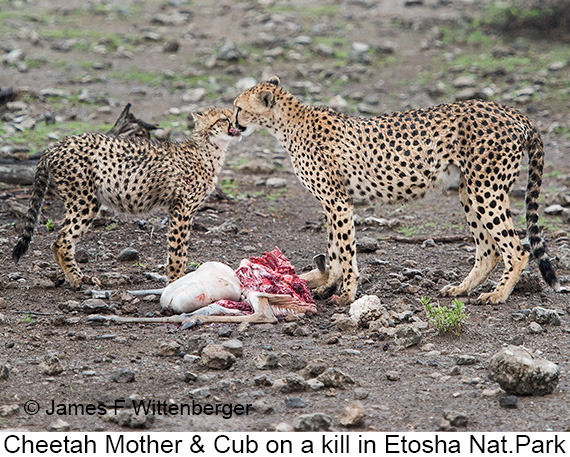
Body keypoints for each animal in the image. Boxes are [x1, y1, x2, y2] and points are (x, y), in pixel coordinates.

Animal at [13, 106, 240, 288]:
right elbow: (178, 252)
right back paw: (78, 280)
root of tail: (57, 145)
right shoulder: (181, 209)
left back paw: (79, 278)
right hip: (84, 200)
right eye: (223, 118)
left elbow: (179, 250)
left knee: (60, 241)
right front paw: (176, 282)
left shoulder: (179, 209)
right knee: (61, 241)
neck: (209, 148)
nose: (237, 125)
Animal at [229, 76, 556, 304]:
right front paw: (328, 285)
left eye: (239, 108)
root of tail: (509, 110)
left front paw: (346, 294)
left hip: (485, 188)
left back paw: (497, 295)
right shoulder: (332, 203)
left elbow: (345, 250)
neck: (289, 124)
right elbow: (334, 248)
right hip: (470, 190)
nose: (231, 125)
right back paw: (461, 288)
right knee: (489, 249)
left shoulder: (337, 201)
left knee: (516, 249)